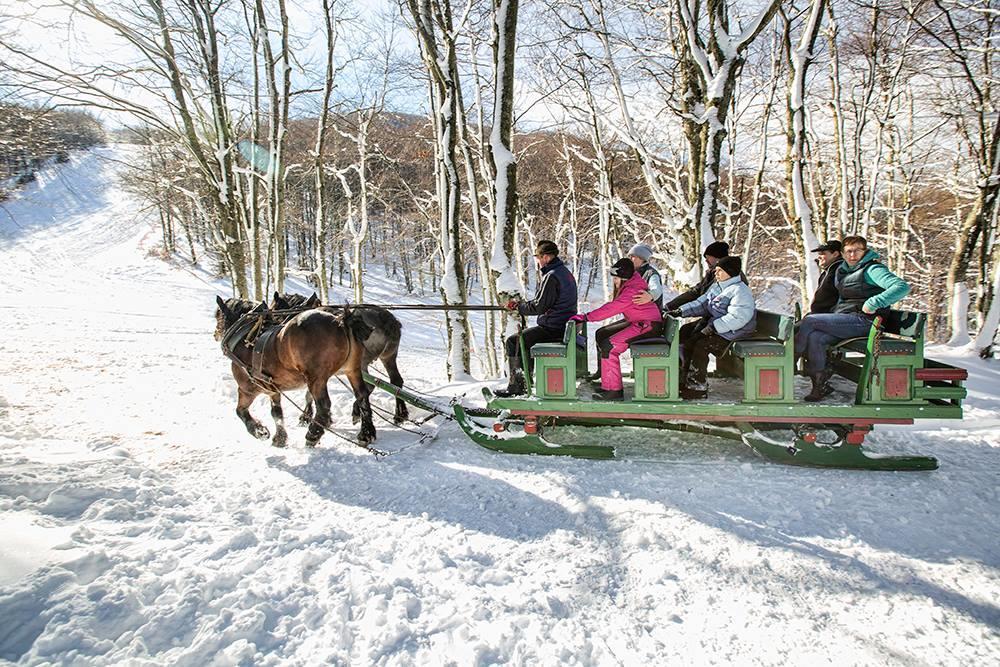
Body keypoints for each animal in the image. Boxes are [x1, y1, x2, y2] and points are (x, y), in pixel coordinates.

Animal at [215, 298, 378, 448]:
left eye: (219, 316)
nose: (215, 334)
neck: (245, 336)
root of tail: (341, 322)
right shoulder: (273, 390)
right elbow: (276, 413)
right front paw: (279, 438)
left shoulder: (247, 389)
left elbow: (240, 411)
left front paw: (260, 431)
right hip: (352, 370)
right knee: (362, 396)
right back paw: (366, 434)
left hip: (316, 378)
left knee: (324, 405)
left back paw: (313, 434)